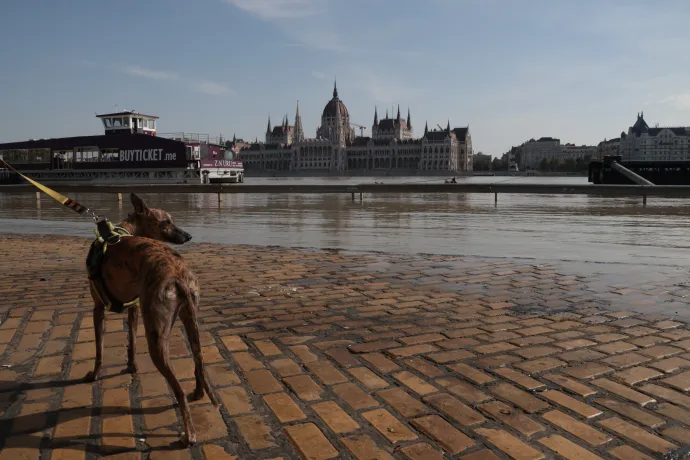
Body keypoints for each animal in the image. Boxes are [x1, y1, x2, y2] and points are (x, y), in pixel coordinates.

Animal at [84, 193, 218, 446]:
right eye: (166, 221)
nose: (188, 236)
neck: (122, 232)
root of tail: (178, 275)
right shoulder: (134, 308)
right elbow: (131, 343)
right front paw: (131, 366)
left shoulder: (98, 308)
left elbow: (99, 350)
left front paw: (94, 374)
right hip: (188, 321)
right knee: (199, 363)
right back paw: (197, 393)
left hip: (156, 339)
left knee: (178, 389)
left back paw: (189, 435)